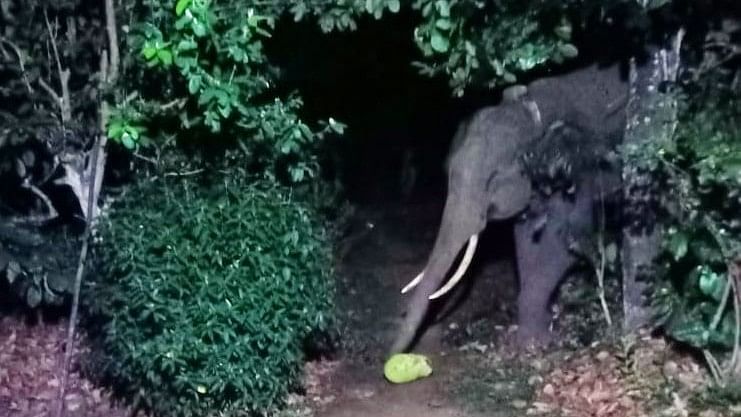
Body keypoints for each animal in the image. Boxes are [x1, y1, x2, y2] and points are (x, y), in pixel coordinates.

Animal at [390, 63, 628, 352]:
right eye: (449, 174)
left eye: (492, 179)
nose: (389, 360)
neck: (528, 111)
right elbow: (527, 242)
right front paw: (534, 337)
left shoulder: (579, 171)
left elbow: (565, 243)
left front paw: (537, 340)